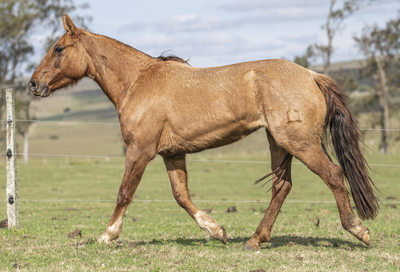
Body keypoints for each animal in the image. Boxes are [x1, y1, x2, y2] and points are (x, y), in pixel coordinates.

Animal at [28, 14, 382, 249]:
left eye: (58, 48)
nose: (33, 84)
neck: (138, 81)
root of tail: (312, 76)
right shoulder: (172, 154)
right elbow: (181, 196)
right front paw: (216, 230)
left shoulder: (140, 150)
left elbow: (124, 192)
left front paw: (107, 235)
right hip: (279, 143)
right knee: (282, 187)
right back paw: (254, 240)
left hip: (298, 143)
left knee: (333, 175)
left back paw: (358, 230)